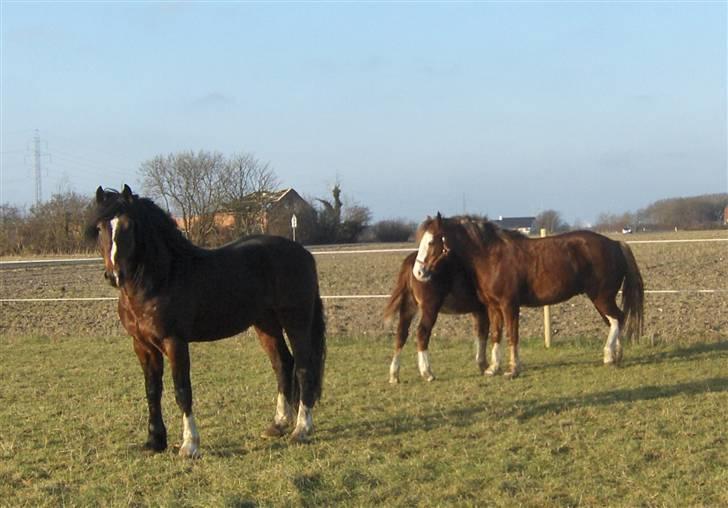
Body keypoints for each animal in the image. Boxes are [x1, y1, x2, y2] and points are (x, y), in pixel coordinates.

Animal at [84, 186, 326, 456]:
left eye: (128, 226)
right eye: (100, 228)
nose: (114, 275)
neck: (161, 278)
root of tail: (303, 253)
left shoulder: (174, 342)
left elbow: (182, 390)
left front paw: (189, 445)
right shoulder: (142, 345)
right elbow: (152, 390)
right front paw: (154, 441)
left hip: (297, 321)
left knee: (304, 367)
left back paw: (301, 429)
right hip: (266, 324)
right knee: (283, 364)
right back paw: (279, 424)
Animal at [382, 234, 490, 380]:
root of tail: (413, 262)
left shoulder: (479, 311)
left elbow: (480, 333)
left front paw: (483, 365)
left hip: (409, 307)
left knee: (401, 333)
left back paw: (394, 375)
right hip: (430, 308)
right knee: (422, 333)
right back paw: (427, 373)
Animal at [412, 213, 644, 378]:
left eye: (431, 241)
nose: (419, 273)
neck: (491, 257)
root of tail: (615, 244)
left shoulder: (509, 305)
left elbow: (512, 335)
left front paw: (513, 369)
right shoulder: (493, 307)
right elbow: (496, 334)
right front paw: (493, 368)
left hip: (601, 297)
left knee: (617, 319)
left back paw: (609, 356)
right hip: (601, 299)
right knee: (616, 320)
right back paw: (617, 356)